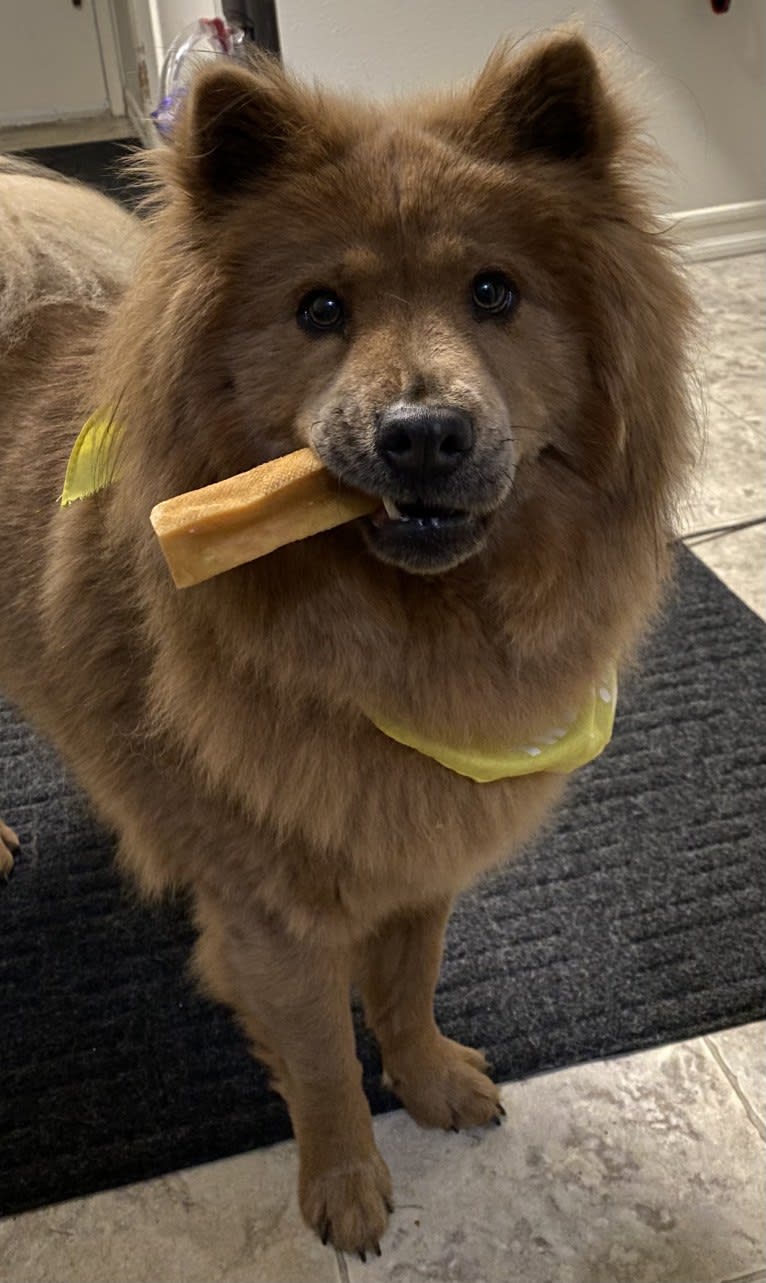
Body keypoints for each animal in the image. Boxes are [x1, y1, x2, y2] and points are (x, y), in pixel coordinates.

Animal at [0, 32, 692, 1262]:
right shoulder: (271, 915)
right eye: (320, 308)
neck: (404, 647)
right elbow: (322, 1057)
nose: (422, 433)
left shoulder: (416, 854)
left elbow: (407, 990)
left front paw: (428, 1082)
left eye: (493, 292)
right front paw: (346, 1182)